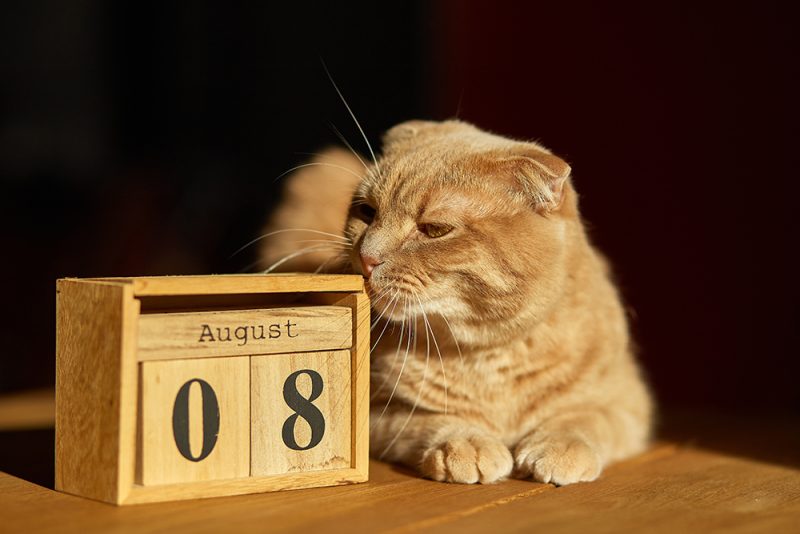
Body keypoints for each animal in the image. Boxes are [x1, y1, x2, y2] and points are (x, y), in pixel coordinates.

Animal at [260, 120, 652, 486]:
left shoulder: (630, 402)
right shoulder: (377, 412)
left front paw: (561, 445)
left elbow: (588, 417)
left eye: (434, 230)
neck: (487, 356)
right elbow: (430, 421)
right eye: (367, 212)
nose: (367, 258)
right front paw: (467, 444)